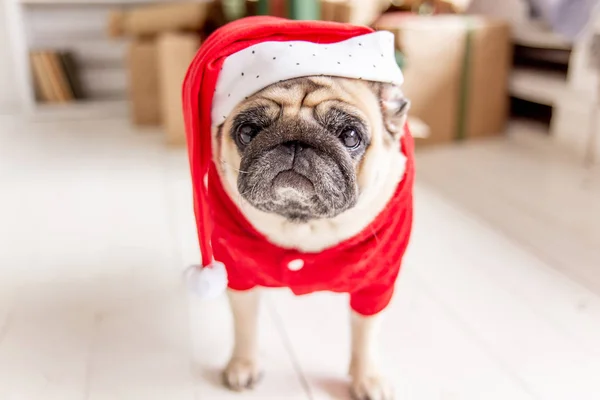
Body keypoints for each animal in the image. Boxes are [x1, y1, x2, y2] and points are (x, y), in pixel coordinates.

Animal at [212, 76, 412, 400]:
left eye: (350, 136)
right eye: (247, 131)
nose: (296, 142)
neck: (303, 222)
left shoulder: (376, 283)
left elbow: (366, 334)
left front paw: (367, 378)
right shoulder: (238, 274)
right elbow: (244, 324)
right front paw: (243, 364)